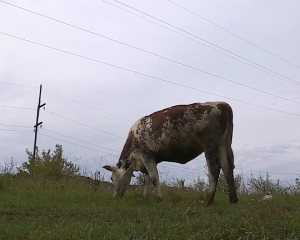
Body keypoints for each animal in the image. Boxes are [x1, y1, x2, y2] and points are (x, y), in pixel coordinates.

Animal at [103, 101, 239, 204]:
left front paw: (159, 199)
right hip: (223, 144)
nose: (115, 196)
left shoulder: (146, 155)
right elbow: (146, 180)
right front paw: (144, 197)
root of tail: (220, 103)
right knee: (227, 168)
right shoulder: (150, 159)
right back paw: (233, 199)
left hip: (209, 145)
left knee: (214, 169)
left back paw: (208, 200)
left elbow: (154, 178)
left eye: (111, 178)